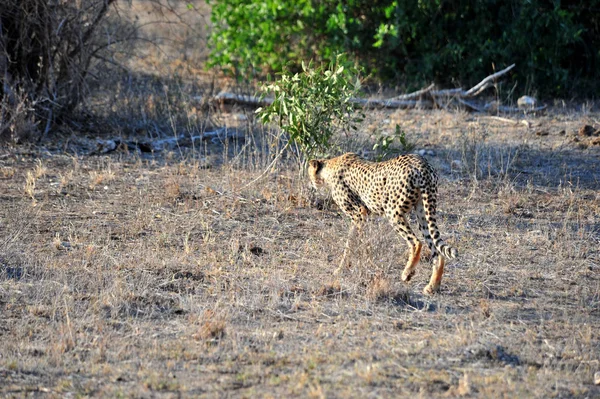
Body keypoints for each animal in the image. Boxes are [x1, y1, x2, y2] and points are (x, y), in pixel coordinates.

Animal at [310, 152, 460, 296]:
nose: (311, 184)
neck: (331, 166)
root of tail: (421, 163)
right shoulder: (361, 216)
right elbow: (353, 241)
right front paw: (343, 268)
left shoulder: (359, 212)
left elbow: (358, 242)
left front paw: (362, 264)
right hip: (423, 212)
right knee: (437, 252)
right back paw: (432, 287)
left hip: (393, 212)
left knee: (416, 242)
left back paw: (407, 273)